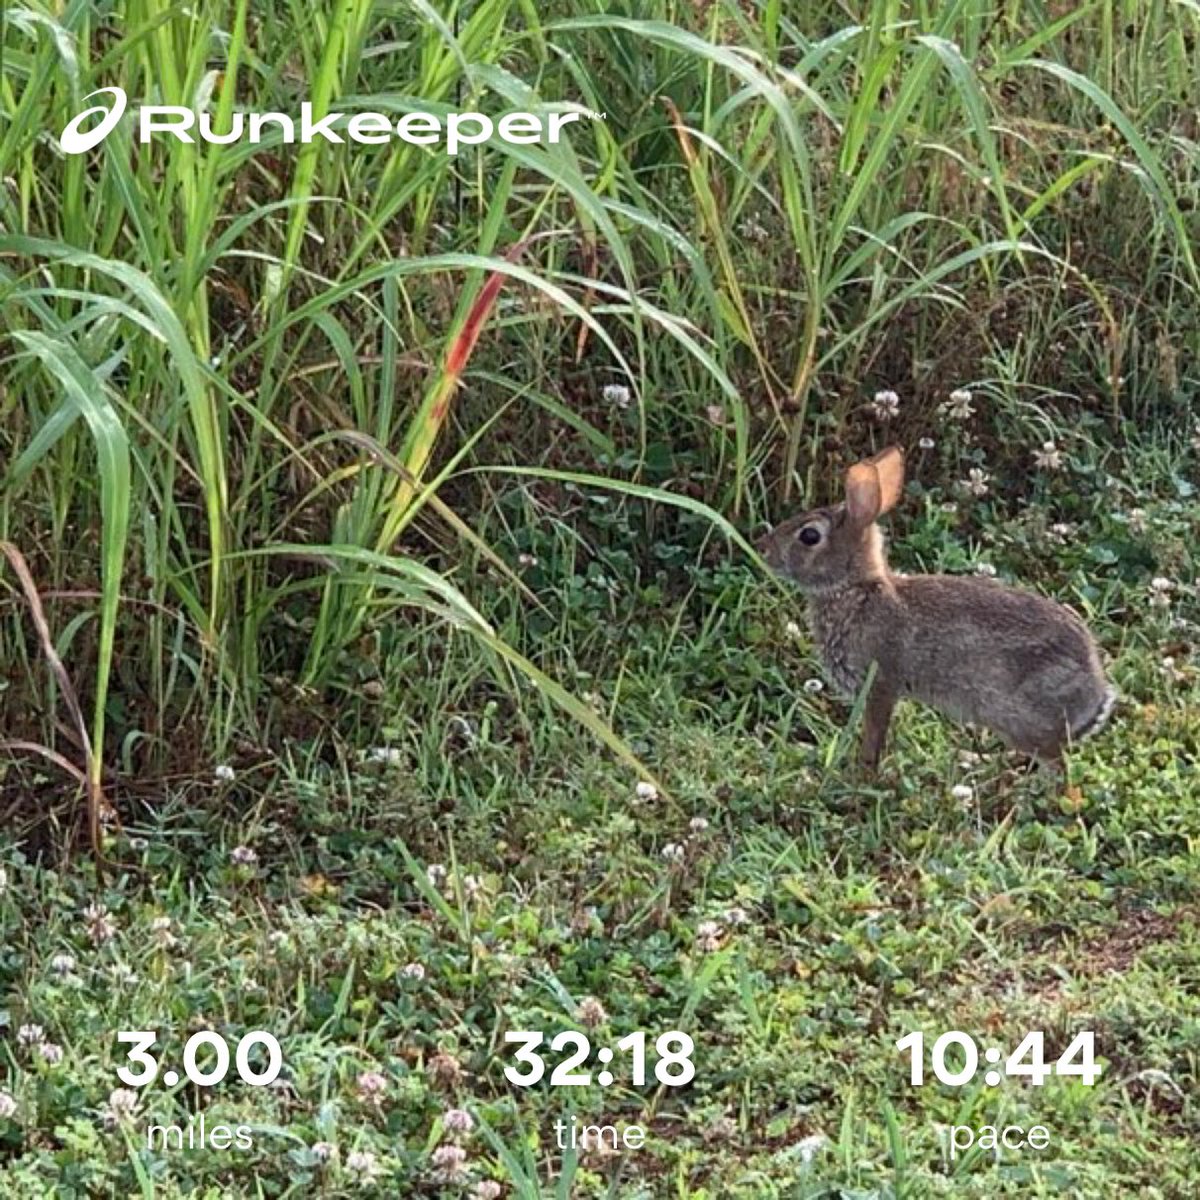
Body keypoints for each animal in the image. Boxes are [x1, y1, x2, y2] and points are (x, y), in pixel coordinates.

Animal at [759, 446, 1115, 771]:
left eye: (809, 536)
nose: (764, 551)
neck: (857, 589)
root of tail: (1094, 692)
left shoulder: (880, 685)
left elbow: (874, 734)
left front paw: (862, 774)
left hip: (1023, 718)